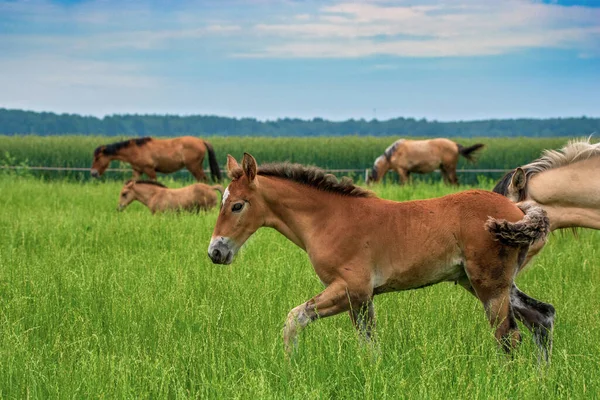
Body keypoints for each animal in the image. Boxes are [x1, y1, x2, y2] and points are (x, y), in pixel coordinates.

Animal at [92, 137, 224, 182]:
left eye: (98, 157)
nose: (93, 173)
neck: (136, 149)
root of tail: (201, 141)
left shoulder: (149, 170)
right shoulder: (137, 171)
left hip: (194, 167)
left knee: (203, 180)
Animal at [210, 153, 552, 360]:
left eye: (237, 205)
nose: (216, 251)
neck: (328, 219)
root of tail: (518, 209)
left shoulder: (352, 289)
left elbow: (295, 318)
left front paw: (289, 366)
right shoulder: (362, 299)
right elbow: (369, 346)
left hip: (489, 287)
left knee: (509, 337)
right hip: (488, 283)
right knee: (542, 316)